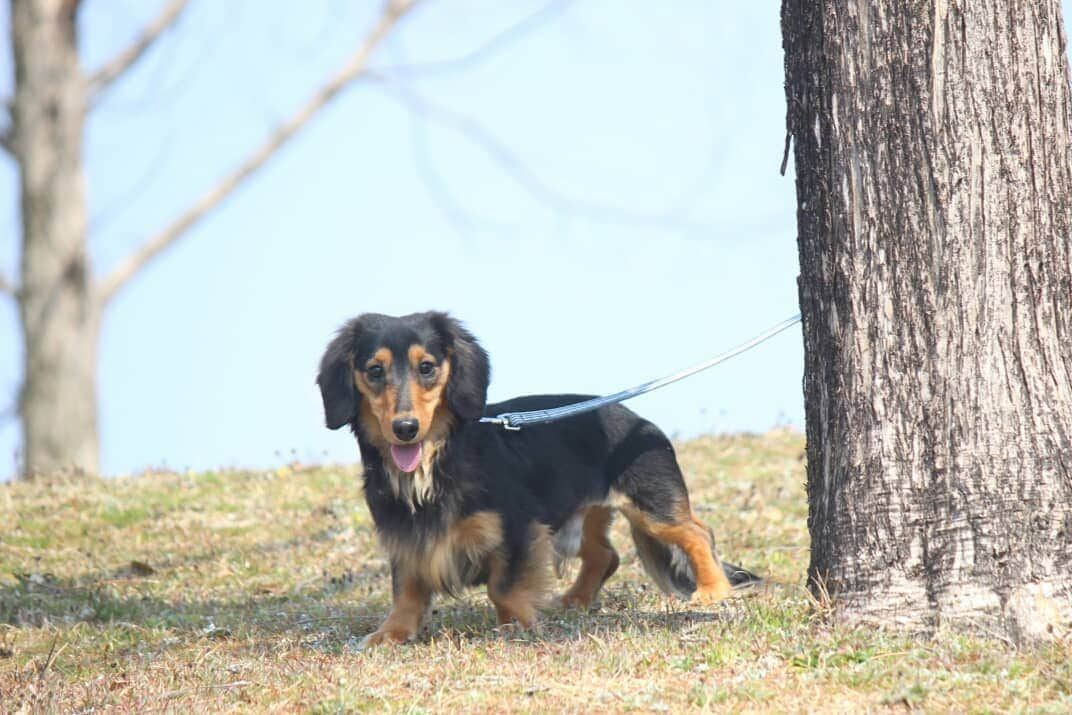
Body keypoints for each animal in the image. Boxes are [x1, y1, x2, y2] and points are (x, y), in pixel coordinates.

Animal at [313, 310, 758, 647]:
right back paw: (575, 600)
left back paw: (712, 590)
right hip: (581, 516)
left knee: (697, 534)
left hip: (652, 505)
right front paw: (390, 633)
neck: (434, 463)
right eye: (374, 371)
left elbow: (502, 587)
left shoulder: (516, 527)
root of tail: (639, 420)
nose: (405, 429)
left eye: (427, 367)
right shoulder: (406, 536)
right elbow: (406, 590)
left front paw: (516, 626)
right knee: (606, 555)